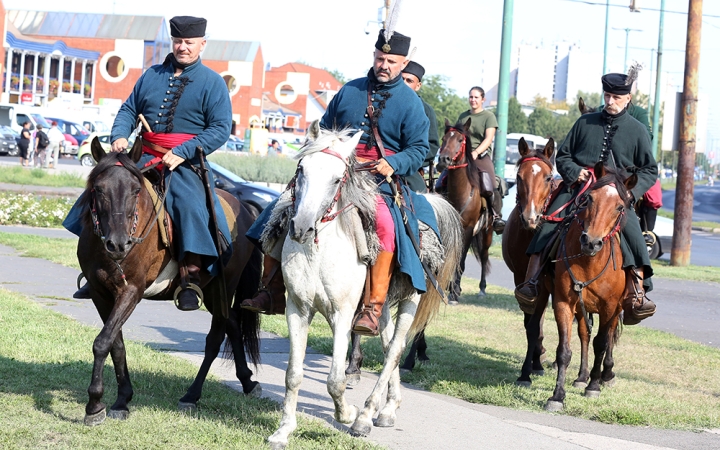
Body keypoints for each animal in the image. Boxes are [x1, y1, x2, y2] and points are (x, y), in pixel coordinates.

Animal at [77, 139, 262, 428]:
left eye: (136, 190)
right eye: (98, 189)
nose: (118, 244)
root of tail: (244, 206)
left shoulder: (131, 292)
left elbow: (102, 342)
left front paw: (95, 404)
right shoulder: (100, 293)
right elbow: (115, 344)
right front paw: (122, 399)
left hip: (223, 287)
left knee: (215, 338)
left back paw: (192, 395)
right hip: (213, 291)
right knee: (232, 323)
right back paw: (247, 380)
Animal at [268, 121, 464, 448]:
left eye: (337, 179)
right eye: (301, 169)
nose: (301, 227)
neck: (319, 250)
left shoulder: (343, 313)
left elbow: (335, 379)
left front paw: (347, 413)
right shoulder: (297, 309)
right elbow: (293, 374)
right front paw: (283, 430)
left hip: (410, 298)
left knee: (395, 349)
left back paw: (366, 415)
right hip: (379, 306)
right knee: (386, 345)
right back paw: (388, 408)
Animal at [434, 118, 496, 300]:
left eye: (460, 140)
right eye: (444, 139)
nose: (443, 159)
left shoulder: (467, 229)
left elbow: (461, 260)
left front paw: (455, 291)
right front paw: (448, 285)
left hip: (487, 231)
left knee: (484, 256)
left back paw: (481, 288)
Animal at [544, 162, 636, 412]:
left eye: (620, 206)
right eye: (589, 199)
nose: (591, 242)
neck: (589, 262)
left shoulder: (609, 307)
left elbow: (602, 343)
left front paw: (594, 385)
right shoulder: (564, 303)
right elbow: (564, 350)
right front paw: (557, 396)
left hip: (615, 309)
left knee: (608, 336)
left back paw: (605, 374)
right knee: (584, 334)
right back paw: (582, 376)